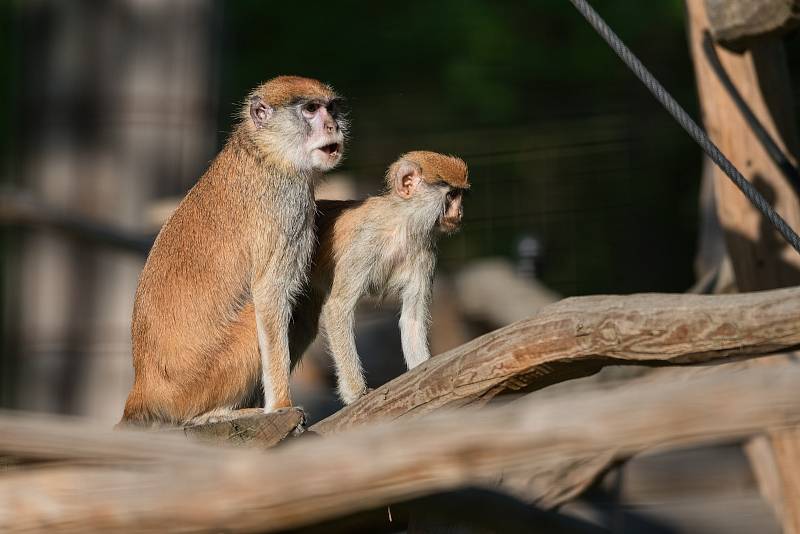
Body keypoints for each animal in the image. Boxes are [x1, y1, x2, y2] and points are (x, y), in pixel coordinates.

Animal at [119, 76, 346, 428]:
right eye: (310, 109)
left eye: (331, 107)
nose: (333, 126)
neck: (265, 150)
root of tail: (144, 386)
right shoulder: (286, 205)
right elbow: (269, 296)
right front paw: (281, 405)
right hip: (197, 382)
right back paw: (214, 414)